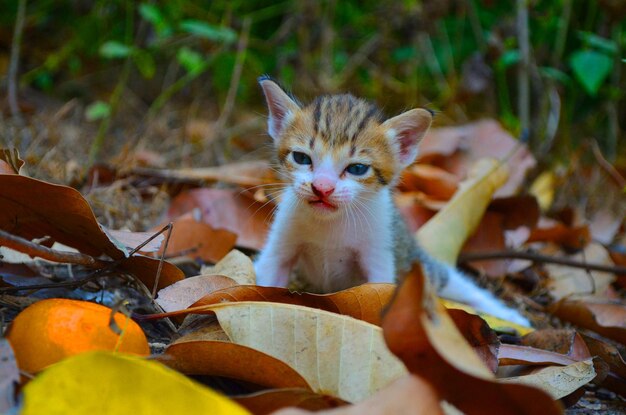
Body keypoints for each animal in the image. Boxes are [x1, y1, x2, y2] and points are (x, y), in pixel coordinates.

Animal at [254, 76, 528, 326]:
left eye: (357, 169)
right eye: (301, 158)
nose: (322, 188)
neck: (330, 224)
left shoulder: (380, 250)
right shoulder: (281, 241)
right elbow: (269, 271)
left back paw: (508, 316)